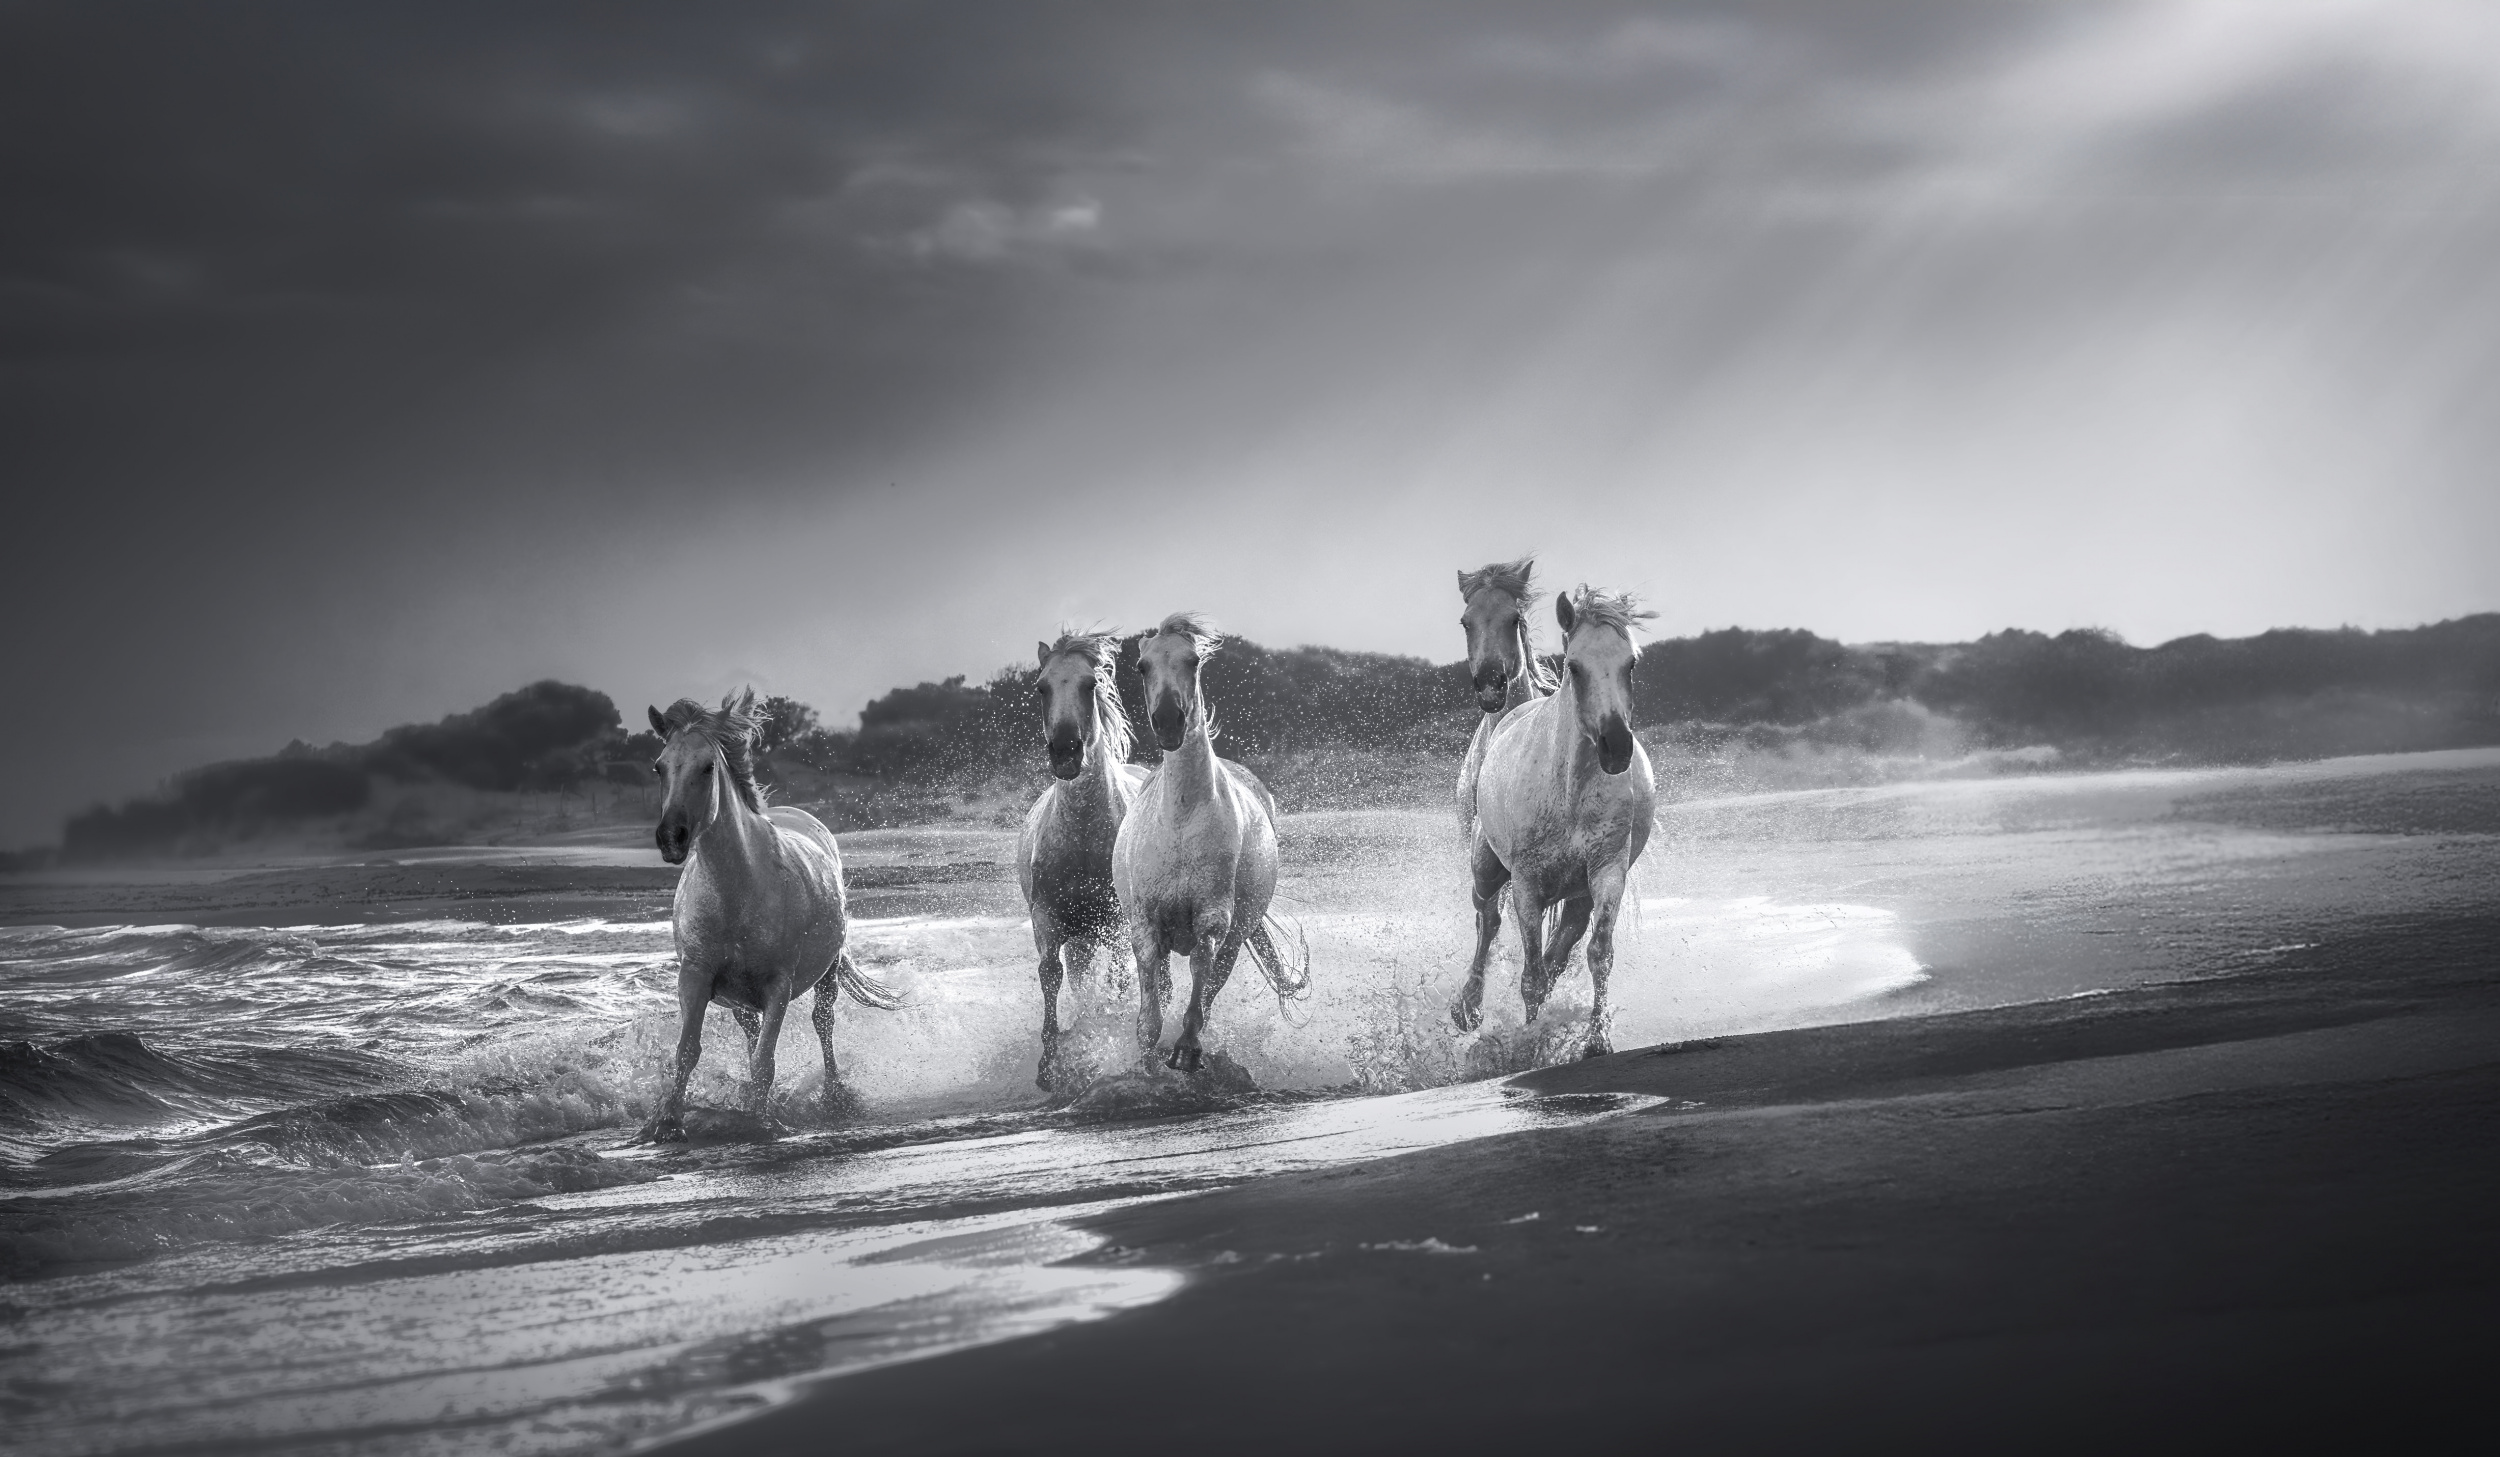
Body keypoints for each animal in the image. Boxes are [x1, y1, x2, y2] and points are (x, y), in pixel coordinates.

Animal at [641, 689, 902, 1140]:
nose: (671, 838)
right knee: (752, 1036)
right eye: (660, 766)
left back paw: (834, 1095)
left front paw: (761, 1123)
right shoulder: (695, 977)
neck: (736, 893)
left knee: (822, 1023)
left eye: (708, 766)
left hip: (826, 974)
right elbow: (688, 1051)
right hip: (742, 1002)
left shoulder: (777, 985)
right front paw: (668, 1124)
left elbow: (766, 1060)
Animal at [1015, 629, 1148, 1088]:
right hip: (1081, 937)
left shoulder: (1117, 919)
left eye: (1090, 684)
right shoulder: (1047, 917)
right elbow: (1050, 975)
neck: (1084, 839)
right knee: (1079, 976)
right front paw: (1047, 1064)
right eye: (1041, 687)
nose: (1066, 751)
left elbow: (1121, 978)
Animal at [1112, 613, 1310, 1072]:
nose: (1169, 721)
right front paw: (1147, 1058)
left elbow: (1202, 980)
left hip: (1238, 935)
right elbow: (1150, 1006)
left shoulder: (1213, 920)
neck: (1182, 818)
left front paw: (1186, 1050)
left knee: (1212, 985)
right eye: (1142, 666)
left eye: (1193, 661)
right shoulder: (1145, 925)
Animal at [1450, 587, 1657, 1058]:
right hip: (1487, 869)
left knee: (1559, 948)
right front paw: (1528, 1046)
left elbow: (1597, 955)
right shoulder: (1527, 884)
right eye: (1574, 666)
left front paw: (1596, 1040)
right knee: (1487, 919)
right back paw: (1467, 1008)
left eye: (1631, 663)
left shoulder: (1606, 872)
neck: (1569, 790)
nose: (1616, 746)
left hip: (1577, 896)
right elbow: (1529, 975)